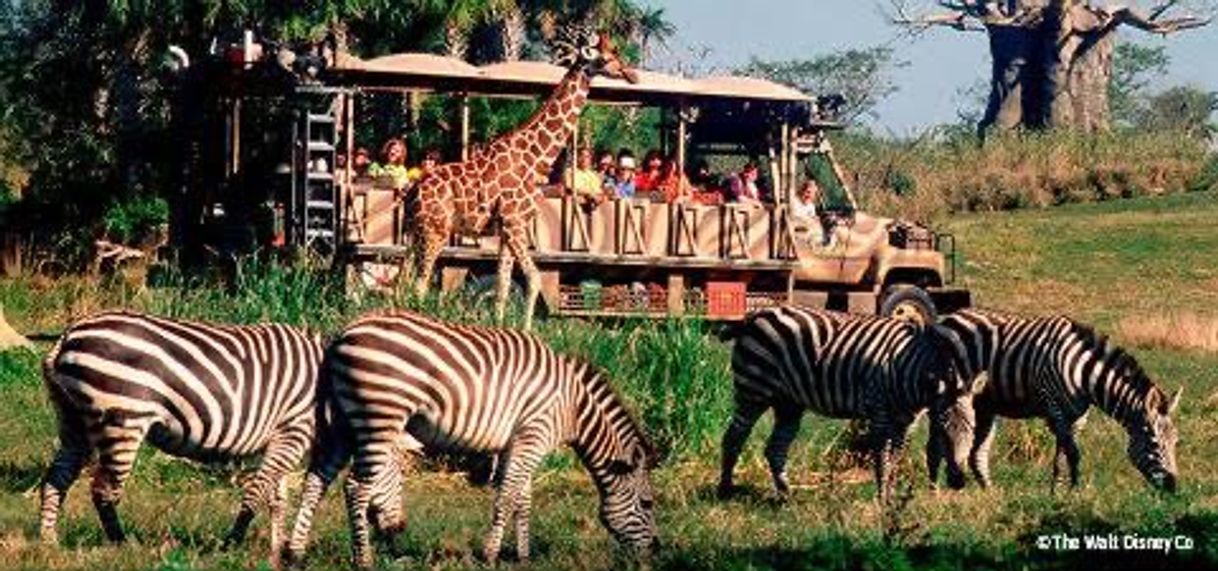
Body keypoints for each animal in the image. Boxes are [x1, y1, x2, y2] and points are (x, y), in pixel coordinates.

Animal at [38, 309, 323, 567]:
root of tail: (67, 335)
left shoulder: (280, 438)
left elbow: (277, 500)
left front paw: (276, 551)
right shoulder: (293, 431)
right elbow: (260, 492)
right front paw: (234, 547)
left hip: (73, 422)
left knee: (56, 478)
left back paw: (49, 543)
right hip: (123, 420)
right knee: (103, 490)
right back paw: (123, 544)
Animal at [283, 309, 657, 567]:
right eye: (648, 504)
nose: (657, 551)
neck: (574, 407)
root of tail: (342, 334)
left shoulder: (517, 442)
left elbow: (522, 498)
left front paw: (522, 556)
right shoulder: (534, 435)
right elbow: (508, 497)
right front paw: (490, 554)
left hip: (343, 424)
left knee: (316, 480)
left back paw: (296, 553)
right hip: (378, 417)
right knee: (356, 488)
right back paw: (364, 560)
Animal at [406, 27, 643, 328]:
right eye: (609, 56)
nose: (632, 75)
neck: (536, 158)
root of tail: (414, 191)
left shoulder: (507, 230)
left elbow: (503, 285)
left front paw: (498, 329)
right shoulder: (515, 222)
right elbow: (534, 279)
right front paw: (526, 331)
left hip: (415, 231)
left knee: (401, 279)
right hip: (436, 230)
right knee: (420, 283)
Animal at [716, 304, 984, 501]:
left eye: (972, 429)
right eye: (943, 432)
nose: (958, 481)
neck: (908, 370)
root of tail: (756, 315)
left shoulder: (907, 420)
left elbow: (897, 456)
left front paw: (892, 495)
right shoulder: (879, 409)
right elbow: (882, 456)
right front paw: (882, 498)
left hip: (788, 402)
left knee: (775, 448)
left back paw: (786, 495)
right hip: (753, 390)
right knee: (733, 438)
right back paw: (725, 490)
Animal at [925, 306, 1183, 489]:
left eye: (1176, 442)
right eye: (1154, 442)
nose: (1173, 486)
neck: (1084, 375)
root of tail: (949, 316)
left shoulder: (1077, 417)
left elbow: (1063, 455)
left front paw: (1058, 493)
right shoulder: (1055, 408)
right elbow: (1074, 454)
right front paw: (1074, 492)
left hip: (984, 406)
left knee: (977, 455)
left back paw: (990, 495)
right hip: (947, 396)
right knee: (936, 445)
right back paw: (935, 491)